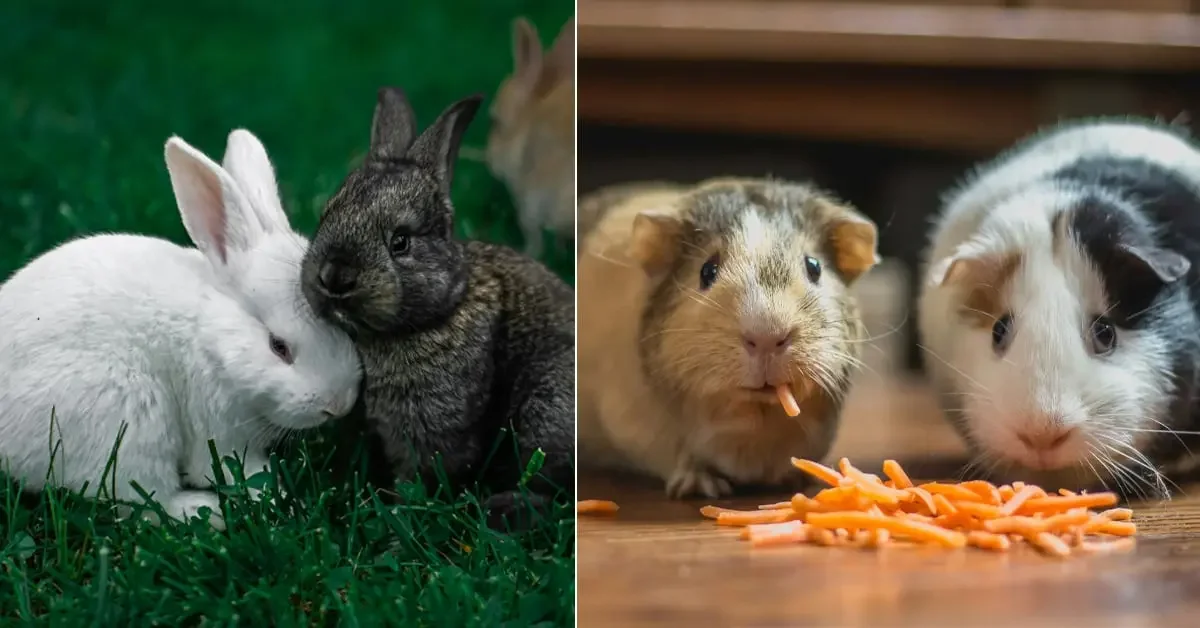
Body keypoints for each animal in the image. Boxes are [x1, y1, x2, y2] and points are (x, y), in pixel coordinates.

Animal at [0, 129, 362, 530]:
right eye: (278, 346)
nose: (339, 405)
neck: (214, 339)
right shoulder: (218, 427)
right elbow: (234, 468)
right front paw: (274, 495)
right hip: (128, 420)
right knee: (140, 500)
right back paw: (205, 511)